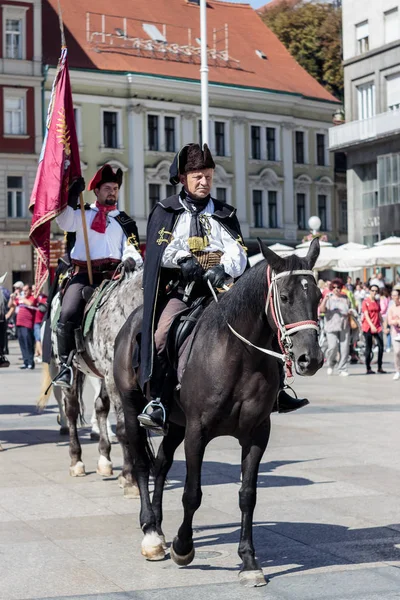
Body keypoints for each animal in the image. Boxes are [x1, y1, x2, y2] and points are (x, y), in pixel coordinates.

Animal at [114, 238, 324, 584]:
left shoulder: (256, 434)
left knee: (161, 464)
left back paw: (158, 523)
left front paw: (249, 561)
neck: (239, 356)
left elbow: (247, 494)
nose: (312, 359)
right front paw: (183, 547)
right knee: (143, 464)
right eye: (284, 297)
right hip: (132, 408)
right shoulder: (197, 432)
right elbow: (192, 493)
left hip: (175, 424)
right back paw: (151, 534)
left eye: (318, 296)